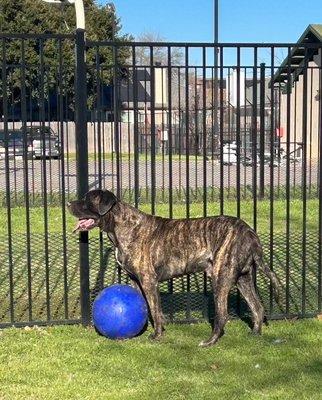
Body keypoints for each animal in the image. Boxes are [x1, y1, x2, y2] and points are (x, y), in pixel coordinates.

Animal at [68, 189, 280, 346]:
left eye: (87, 200)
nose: (69, 204)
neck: (122, 226)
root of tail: (250, 232)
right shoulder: (136, 281)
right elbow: (147, 308)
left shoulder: (148, 280)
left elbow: (154, 310)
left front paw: (157, 336)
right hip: (243, 278)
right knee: (257, 307)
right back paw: (255, 334)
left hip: (221, 277)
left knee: (222, 315)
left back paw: (210, 342)